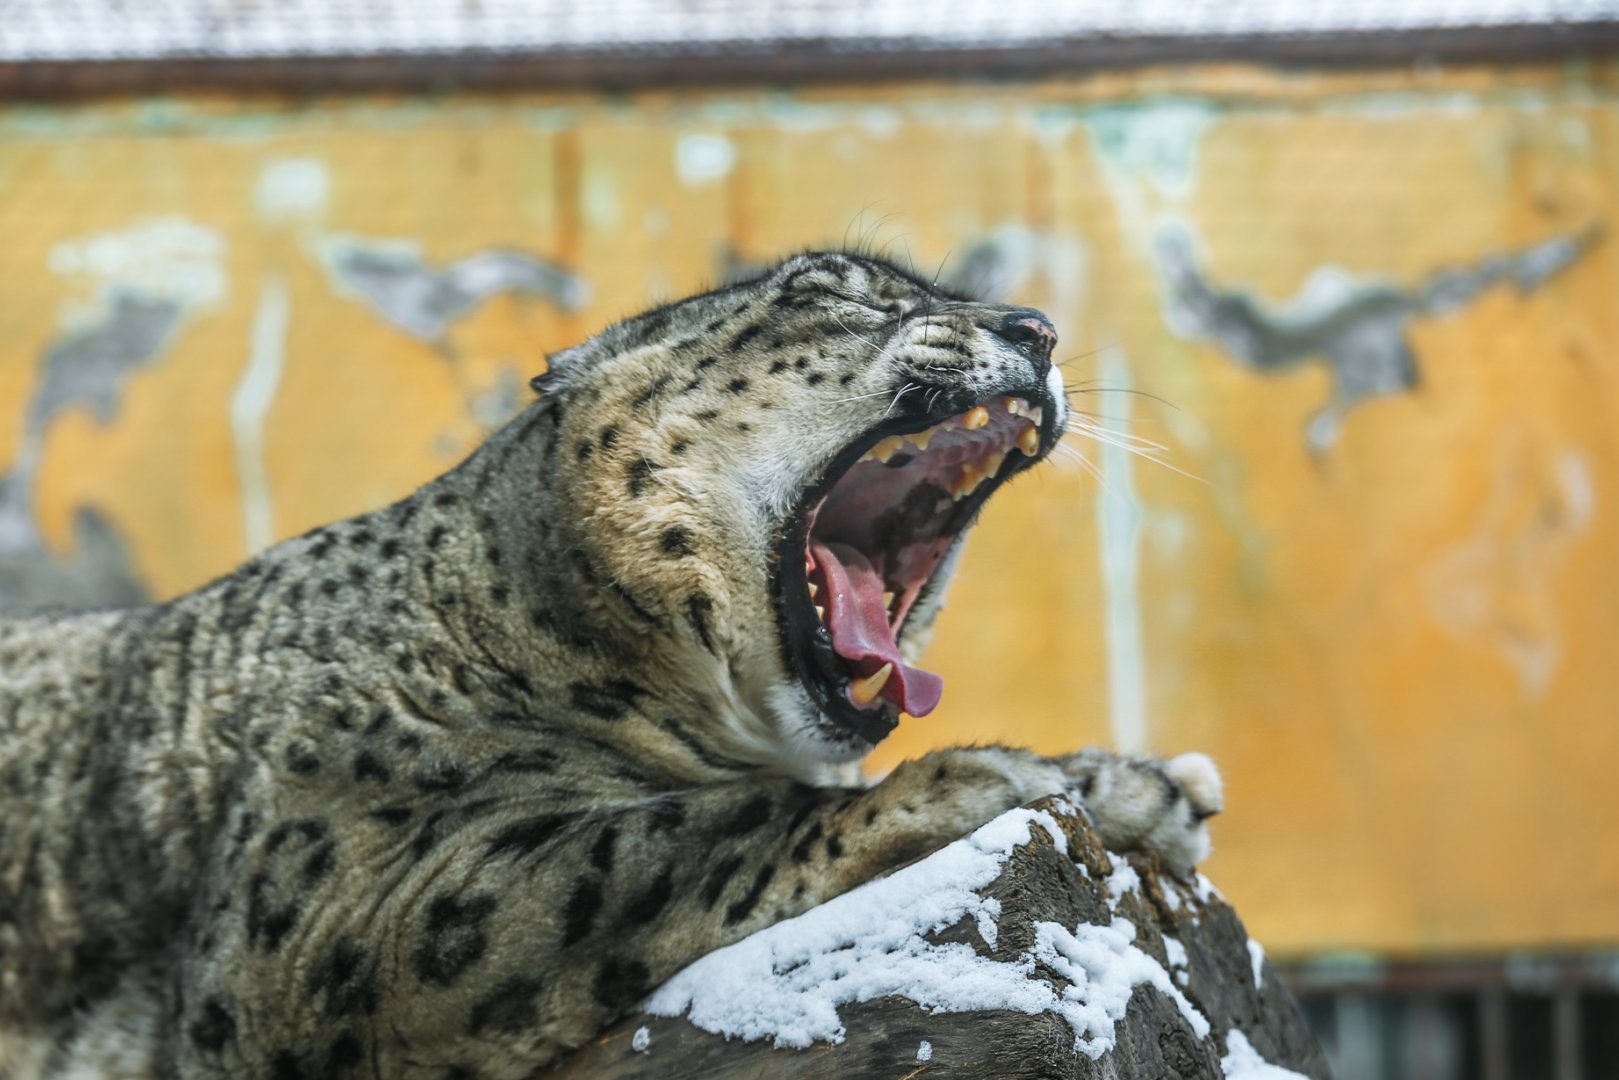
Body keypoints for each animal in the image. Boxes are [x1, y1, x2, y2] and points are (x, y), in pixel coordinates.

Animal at [0, 250, 1223, 1078]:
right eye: (835, 290)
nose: (1038, 325)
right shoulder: (338, 914)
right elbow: (658, 837)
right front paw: (982, 778)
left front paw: (1141, 787)